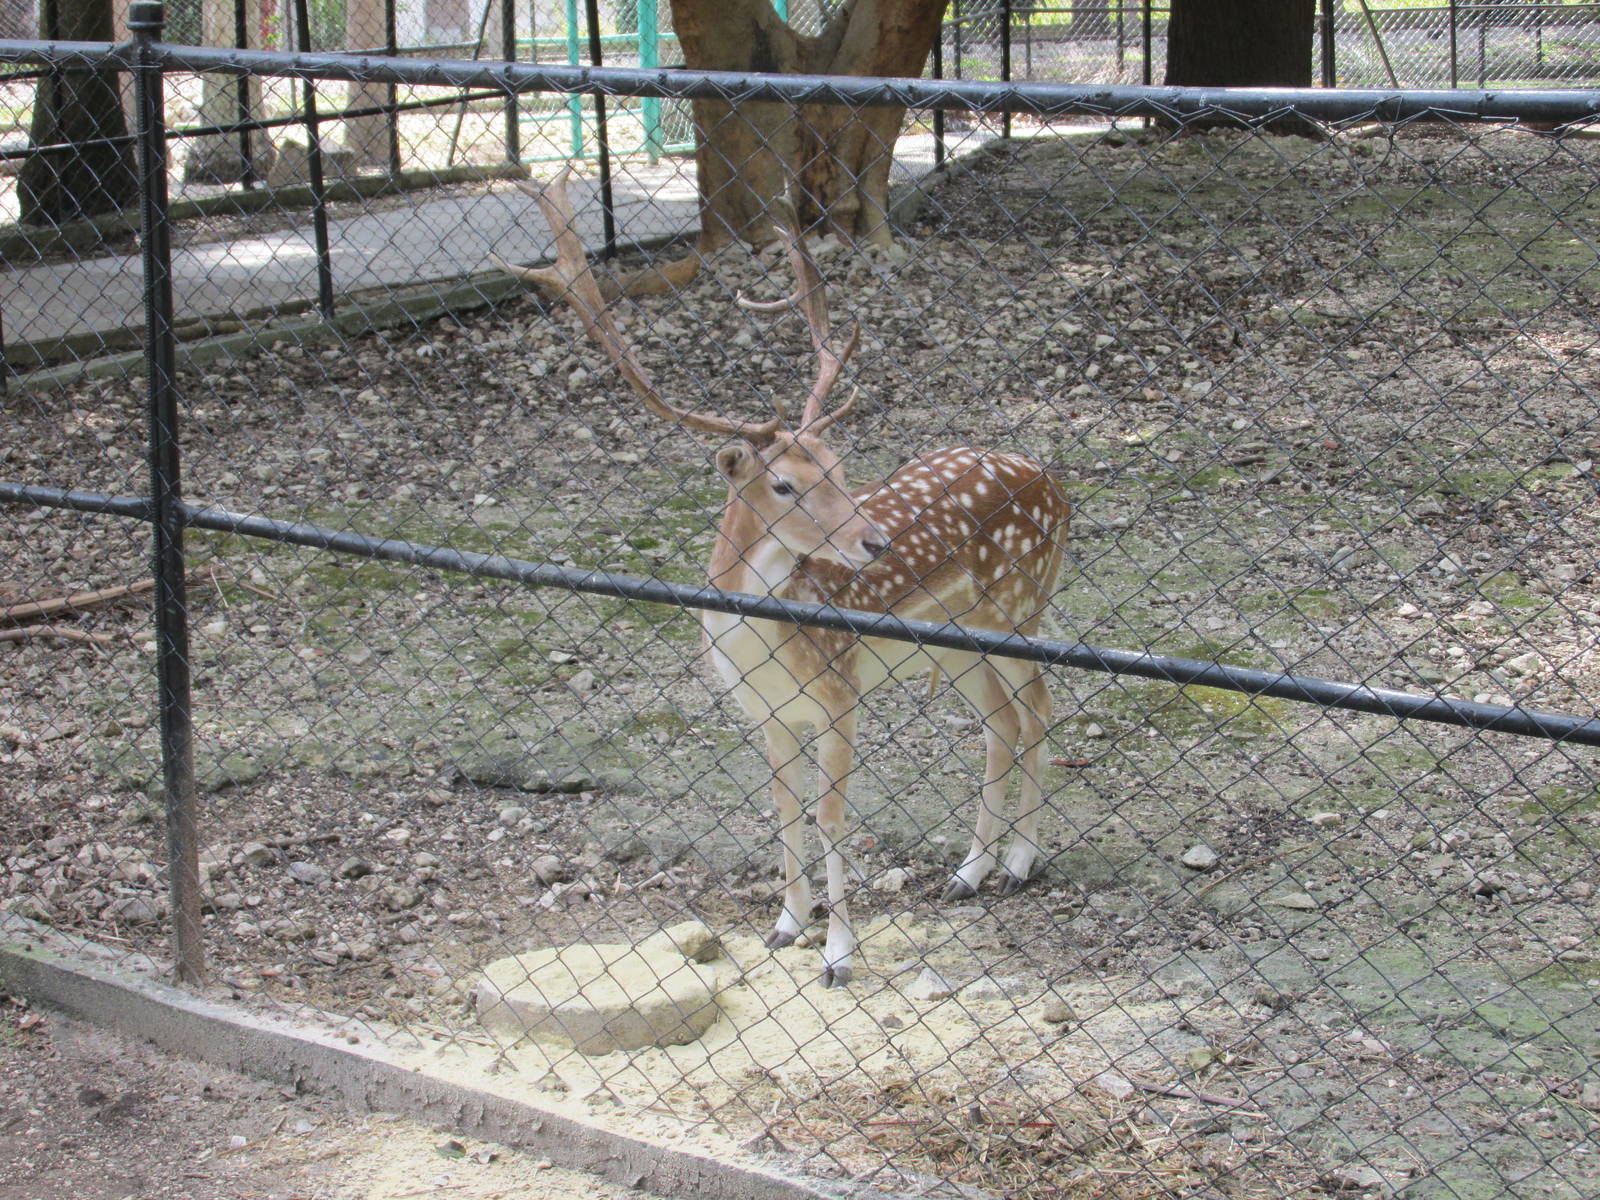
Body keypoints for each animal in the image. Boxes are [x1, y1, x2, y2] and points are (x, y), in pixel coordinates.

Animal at [499, 171, 1070, 987]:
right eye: (784, 484)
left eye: (837, 466)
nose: (874, 540)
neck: (764, 648)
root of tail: (1056, 484)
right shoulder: (762, 714)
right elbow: (783, 808)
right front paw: (787, 924)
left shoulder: (840, 693)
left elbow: (831, 816)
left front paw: (838, 955)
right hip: (955, 643)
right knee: (998, 725)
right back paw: (969, 874)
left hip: (1020, 610)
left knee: (1039, 712)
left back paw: (1021, 861)